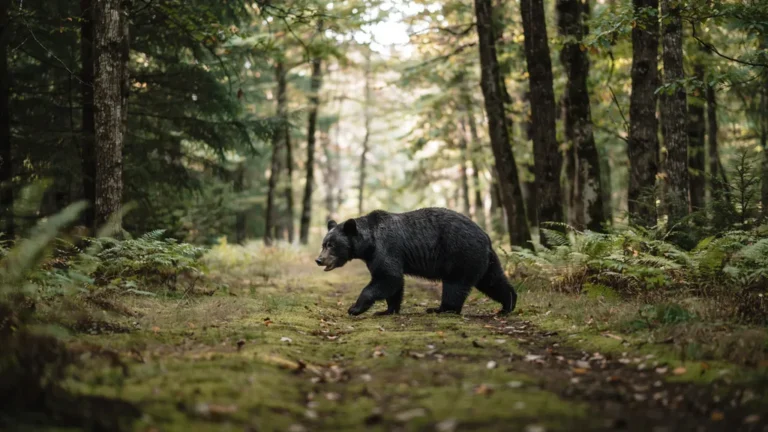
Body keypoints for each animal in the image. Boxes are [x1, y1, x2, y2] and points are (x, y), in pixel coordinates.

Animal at [315, 207, 517, 316]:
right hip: (484, 259)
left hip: (460, 253)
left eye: (331, 245)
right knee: (492, 281)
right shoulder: (378, 256)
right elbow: (394, 284)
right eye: (324, 244)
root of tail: (485, 235)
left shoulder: (386, 249)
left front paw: (354, 308)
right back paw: (508, 305)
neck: (368, 244)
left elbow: (387, 278)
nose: (319, 259)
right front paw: (388, 310)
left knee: (455, 285)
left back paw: (441, 309)